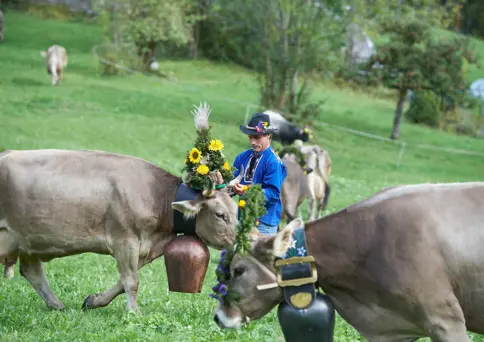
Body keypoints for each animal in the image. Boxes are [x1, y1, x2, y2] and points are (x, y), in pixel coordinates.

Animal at [0, 148, 242, 312]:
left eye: (236, 211)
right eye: (220, 215)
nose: (243, 242)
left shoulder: (142, 247)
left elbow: (124, 280)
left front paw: (94, 301)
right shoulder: (125, 241)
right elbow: (131, 281)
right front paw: (134, 312)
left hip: (27, 240)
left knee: (32, 271)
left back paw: (57, 305)